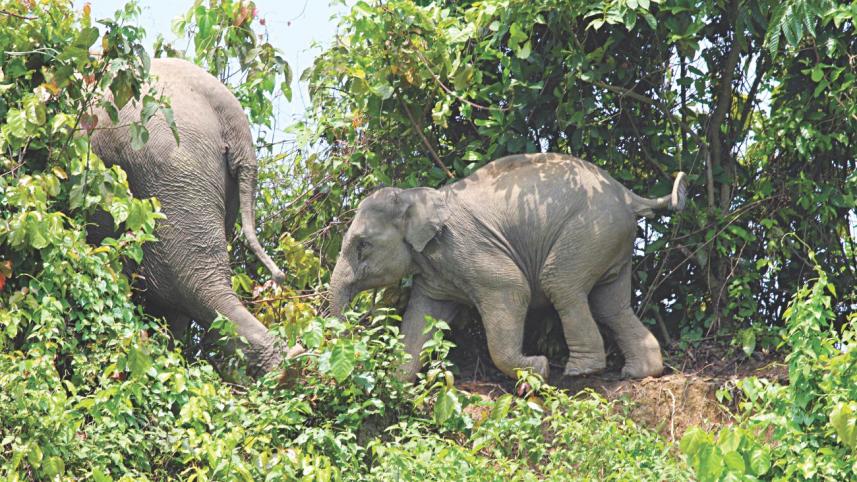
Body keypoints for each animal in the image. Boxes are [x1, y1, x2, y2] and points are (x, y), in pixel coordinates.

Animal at [329, 153, 687, 382]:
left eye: (362, 245)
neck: (415, 196)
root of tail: (627, 195)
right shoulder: (436, 271)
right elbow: (423, 316)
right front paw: (398, 383)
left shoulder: (466, 247)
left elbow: (512, 288)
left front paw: (538, 368)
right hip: (611, 239)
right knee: (611, 303)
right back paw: (639, 372)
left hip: (590, 230)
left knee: (562, 285)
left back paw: (581, 371)